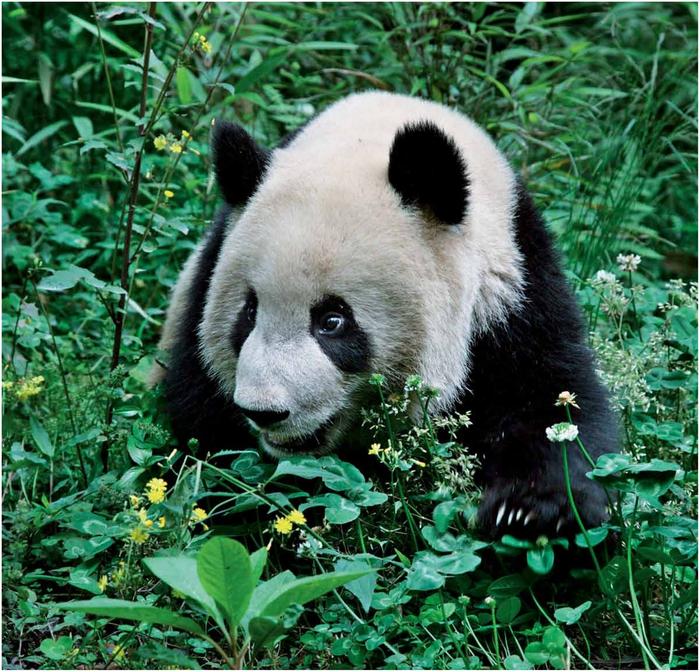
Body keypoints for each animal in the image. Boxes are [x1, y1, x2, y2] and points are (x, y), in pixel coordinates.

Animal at [154, 92, 616, 540]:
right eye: (248, 312)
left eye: (333, 321)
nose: (264, 411)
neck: (372, 135)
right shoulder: (205, 280)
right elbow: (205, 426)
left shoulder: (514, 287)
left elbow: (550, 400)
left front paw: (535, 512)